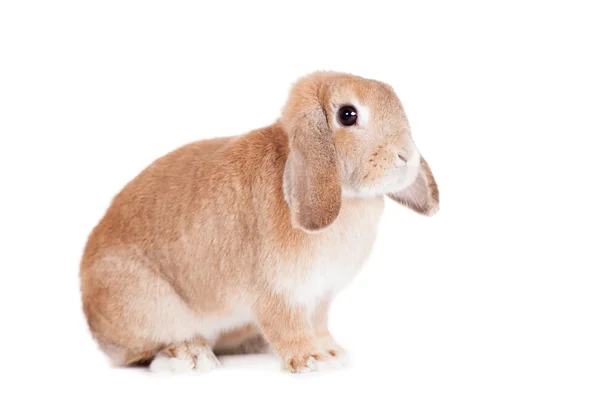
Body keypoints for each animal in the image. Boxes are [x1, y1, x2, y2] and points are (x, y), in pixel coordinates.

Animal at [79, 70, 438, 374]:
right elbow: (287, 327)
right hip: (146, 303)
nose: (407, 157)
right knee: (144, 352)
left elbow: (319, 324)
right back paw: (191, 357)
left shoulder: (320, 296)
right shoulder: (277, 293)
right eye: (348, 115)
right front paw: (312, 361)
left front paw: (333, 353)